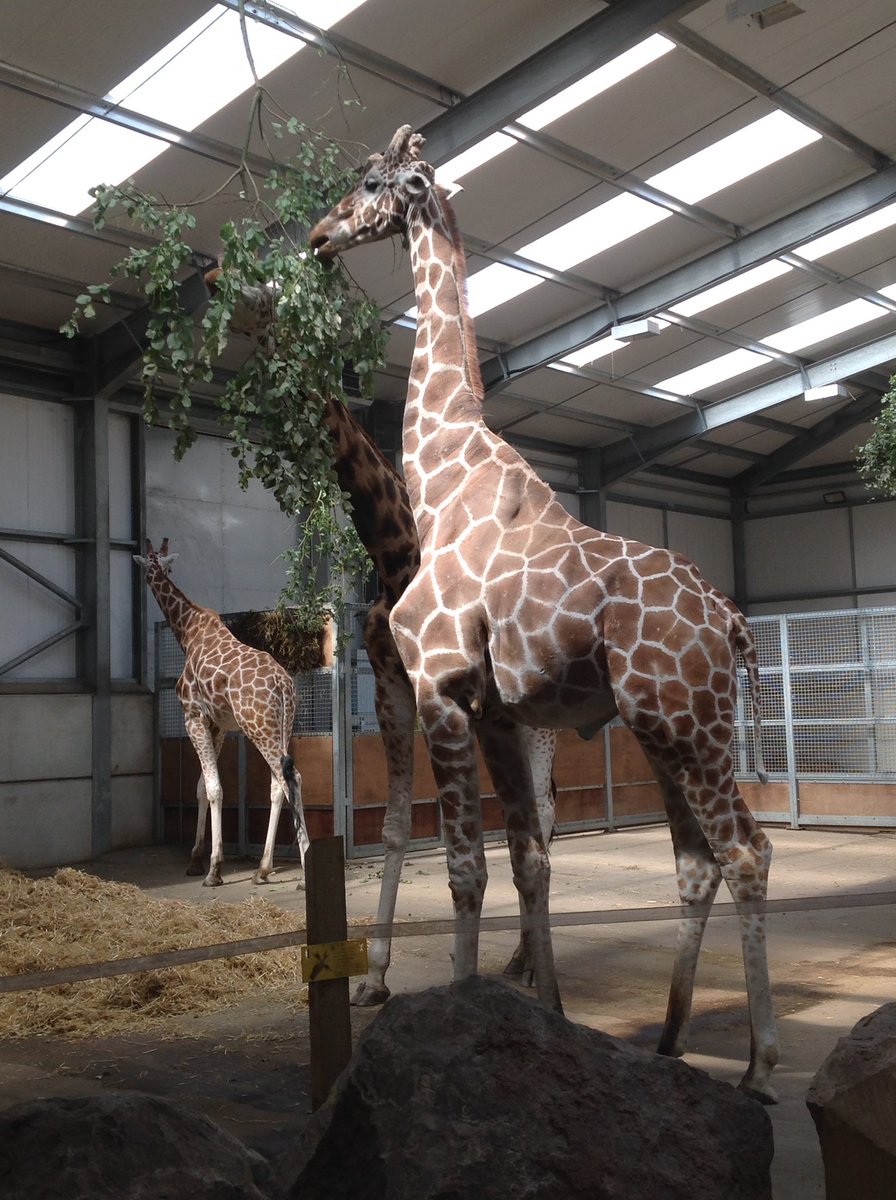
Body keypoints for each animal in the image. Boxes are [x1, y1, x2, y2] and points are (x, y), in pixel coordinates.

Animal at [134, 538, 309, 887]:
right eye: (163, 566)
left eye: (151, 568)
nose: (149, 579)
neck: (187, 632)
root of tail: (283, 685)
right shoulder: (219, 725)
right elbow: (202, 788)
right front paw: (195, 860)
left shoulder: (193, 716)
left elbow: (214, 788)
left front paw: (213, 868)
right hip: (282, 725)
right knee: (277, 784)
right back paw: (263, 869)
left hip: (258, 726)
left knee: (291, 779)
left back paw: (306, 870)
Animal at [203, 266, 556, 1000]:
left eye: (268, 287)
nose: (215, 274)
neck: (396, 556)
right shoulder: (392, 686)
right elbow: (395, 829)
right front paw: (374, 978)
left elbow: (465, 842)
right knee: (535, 827)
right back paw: (519, 963)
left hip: (536, 720)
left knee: (543, 821)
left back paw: (529, 967)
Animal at [307, 125, 779, 1102]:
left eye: (369, 183)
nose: (318, 236)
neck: (440, 477)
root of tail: (731, 621)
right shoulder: (493, 711)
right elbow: (526, 860)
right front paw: (548, 1015)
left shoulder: (440, 688)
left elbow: (464, 869)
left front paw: (451, 1015)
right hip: (664, 729)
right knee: (696, 861)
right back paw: (668, 1041)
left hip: (688, 725)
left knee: (746, 853)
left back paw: (758, 1065)